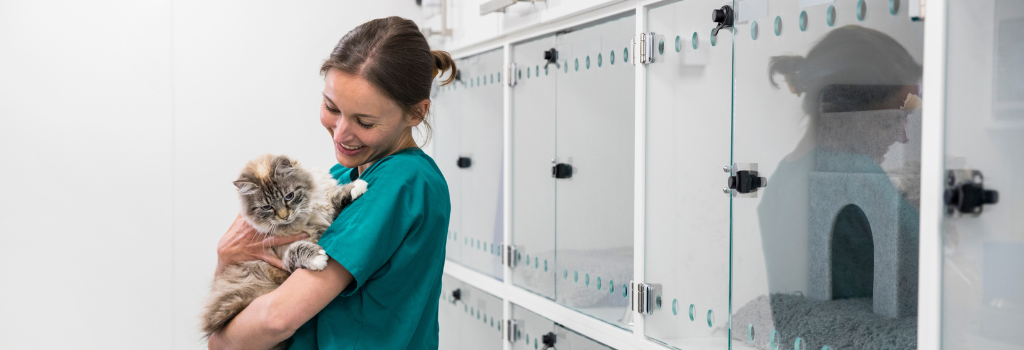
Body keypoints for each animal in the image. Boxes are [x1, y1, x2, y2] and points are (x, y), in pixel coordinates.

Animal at [197, 154, 366, 347]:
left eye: (289, 196)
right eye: (266, 207)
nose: (284, 216)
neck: (304, 218)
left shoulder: (323, 205)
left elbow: (332, 197)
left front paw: (355, 187)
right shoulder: (284, 254)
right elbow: (297, 249)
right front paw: (317, 258)